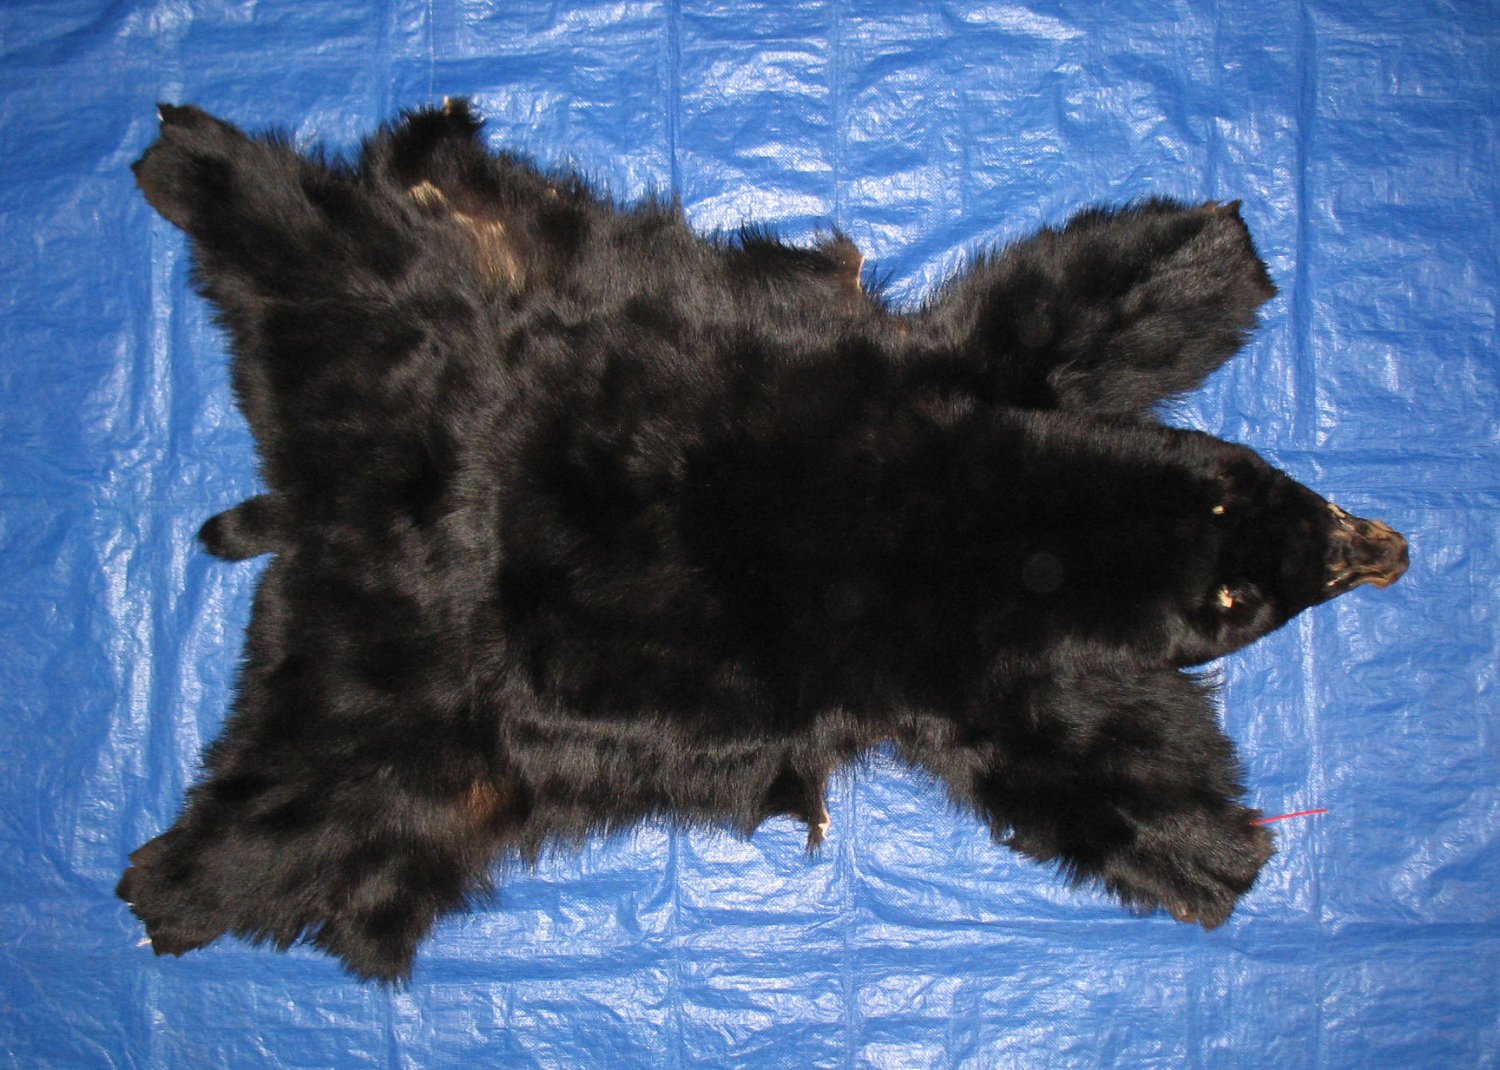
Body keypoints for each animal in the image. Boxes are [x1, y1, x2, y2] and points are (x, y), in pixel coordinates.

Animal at [118, 101, 1408, 981]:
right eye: (1246, 599)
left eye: (1261, 481)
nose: (1387, 545)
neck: (999, 520)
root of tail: (315, 501)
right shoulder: (972, 657)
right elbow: (1080, 767)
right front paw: (1214, 848)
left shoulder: (977, 403)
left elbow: (1058, 308)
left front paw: (1203, 253)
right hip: (405, 702)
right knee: (307, 814)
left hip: (413, 327)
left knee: (328, 241)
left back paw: (197, 169)